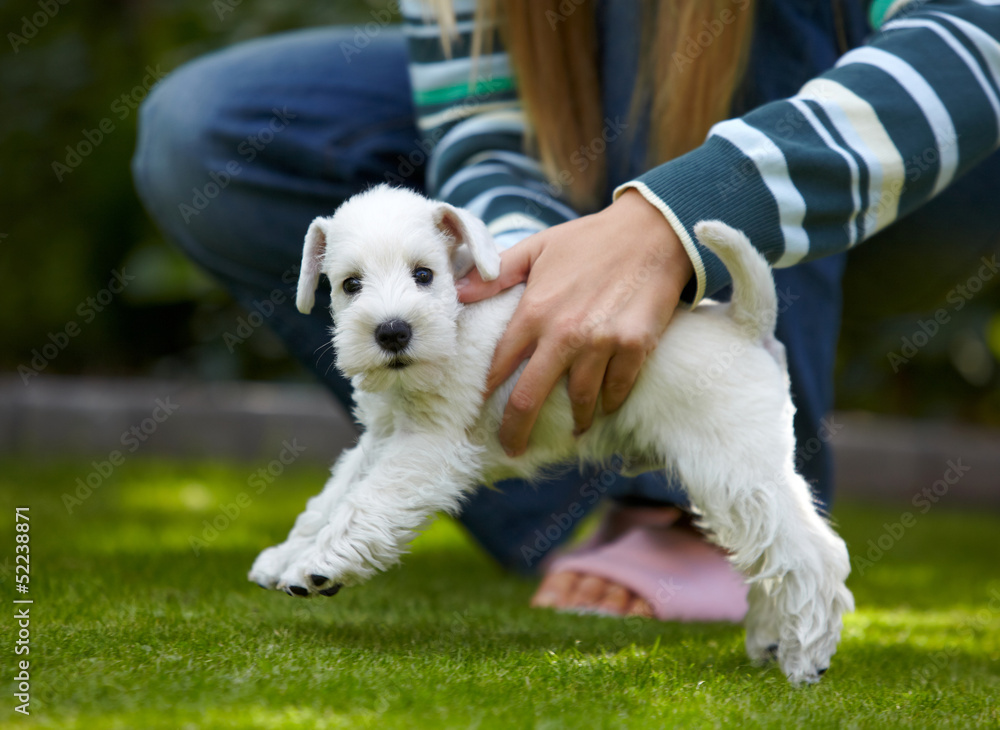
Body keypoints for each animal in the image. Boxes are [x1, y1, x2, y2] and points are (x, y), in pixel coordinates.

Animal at [250, 182, 852, 684]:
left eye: (424, 274)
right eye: (349, 284)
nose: (392, 332)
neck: (455, 322)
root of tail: (745, 324)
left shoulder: (429, 447)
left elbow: (366, 503)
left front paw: (319, 565)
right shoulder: (381, 437)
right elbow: (332, 497)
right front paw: (286, 557)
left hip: (737, 471)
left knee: (814, 554)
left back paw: (805, 657)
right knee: (772, 558)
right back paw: (770, 640)